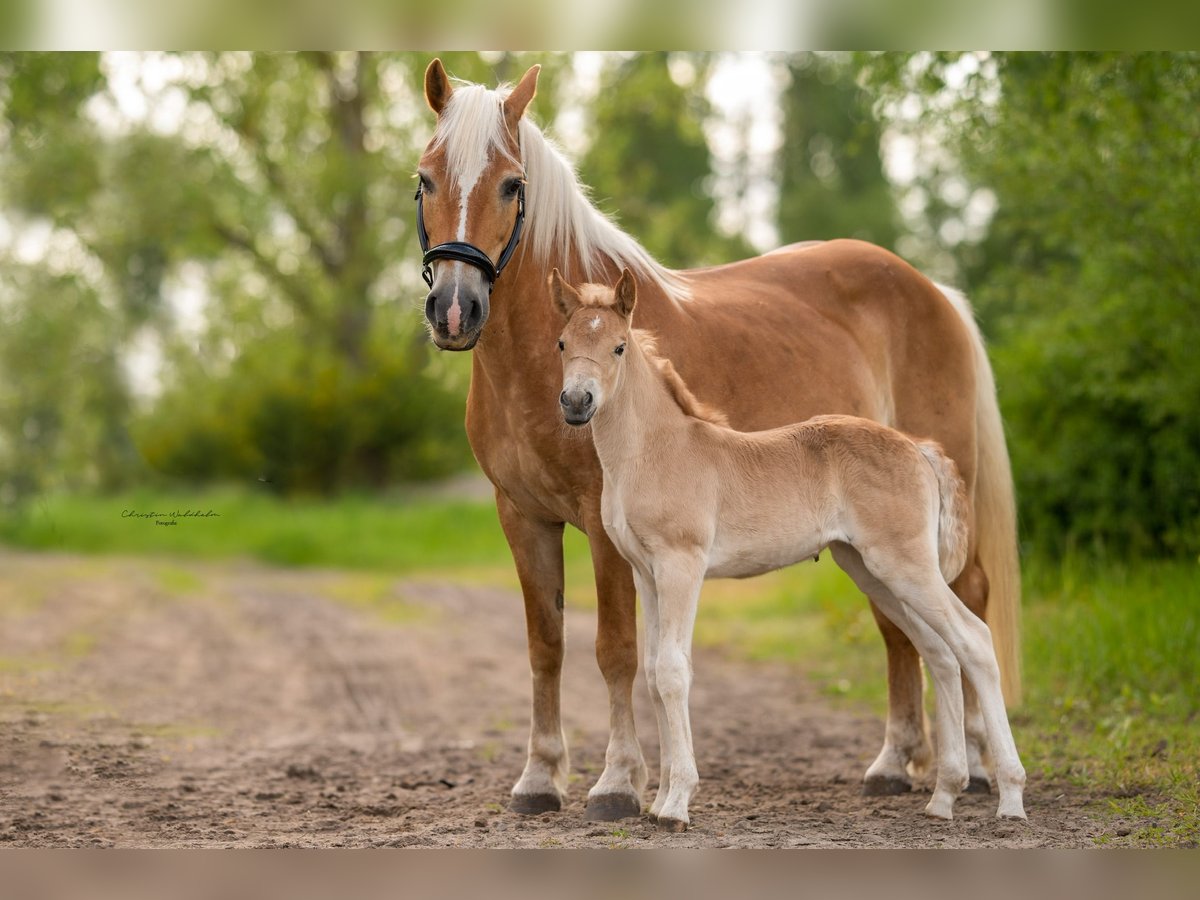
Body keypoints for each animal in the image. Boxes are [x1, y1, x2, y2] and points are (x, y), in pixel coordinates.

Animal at [554, 270, 1032, 840]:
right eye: (562, 343)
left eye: (619, 347)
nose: (576, 402)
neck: (655, 451)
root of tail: (918, 448)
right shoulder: (646, 573)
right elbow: (651, 673)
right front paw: (660, 799)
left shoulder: (681, 565)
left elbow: (673, 670)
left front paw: (676, 805)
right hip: (872, 570)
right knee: (939, 650)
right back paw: (943, 797)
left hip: (906, 565)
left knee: (974, 640)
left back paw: (1010, 799)